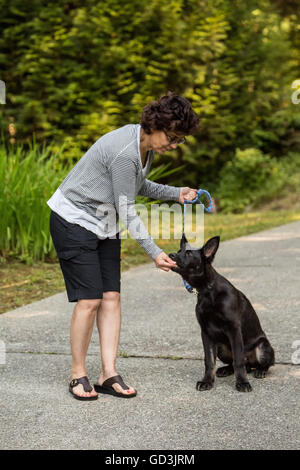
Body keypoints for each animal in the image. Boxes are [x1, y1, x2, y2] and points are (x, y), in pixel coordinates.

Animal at [169, 235, 274, 392]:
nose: (170, 255)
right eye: (178, 251)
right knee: (238, 364)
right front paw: (207, 381)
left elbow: (238, 360)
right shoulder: (206, 333)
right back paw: (225, 370)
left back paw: (261, 371)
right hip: (220, 348)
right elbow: (209, 361)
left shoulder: (234, 330)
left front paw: (242, 382)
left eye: (188, 253)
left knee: (258, 363)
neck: (207, 291)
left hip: (262, 347)